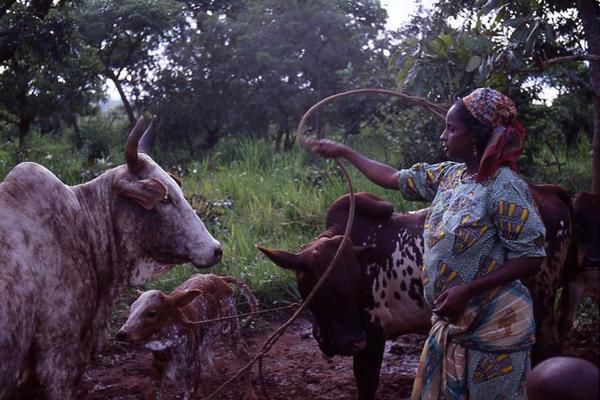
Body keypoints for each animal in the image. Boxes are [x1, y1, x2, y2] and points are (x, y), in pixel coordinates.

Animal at [117, 274, 258, 400]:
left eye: (152, 313)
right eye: (131, 310)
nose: (121, 334)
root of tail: (218, 277)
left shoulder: (192, 372)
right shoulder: (156, 372)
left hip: (231, 330)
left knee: (245, 356)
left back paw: (250, 394)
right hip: (206, 343)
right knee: (209, 369)